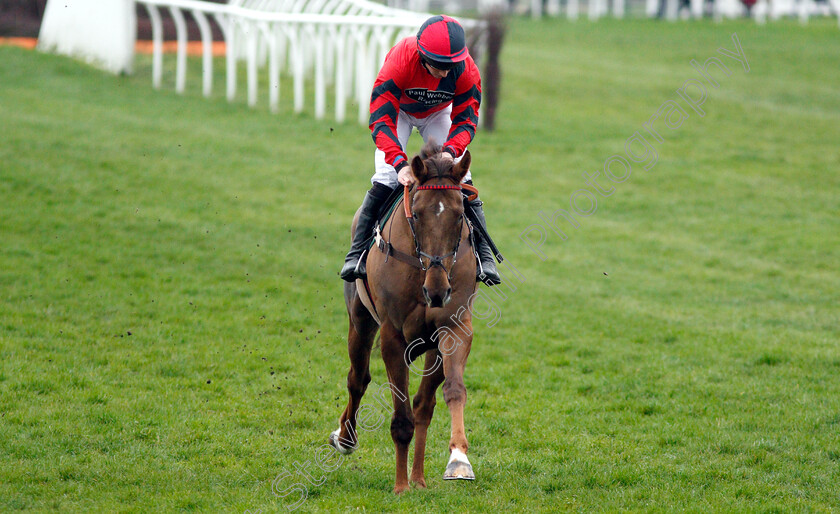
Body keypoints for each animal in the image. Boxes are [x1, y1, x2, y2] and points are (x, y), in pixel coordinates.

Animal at [332, 141, 482, 492]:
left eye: (460, 214)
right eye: (418, 212)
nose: (438, 291)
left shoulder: (454, 327)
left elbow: (452, 391)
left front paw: (458, 460)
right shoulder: (393, 335)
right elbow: (400, 415)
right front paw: (400, 487)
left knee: (423, 405)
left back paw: (420, 477)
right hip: (360, 321)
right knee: (357, 379)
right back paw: (346, 439)